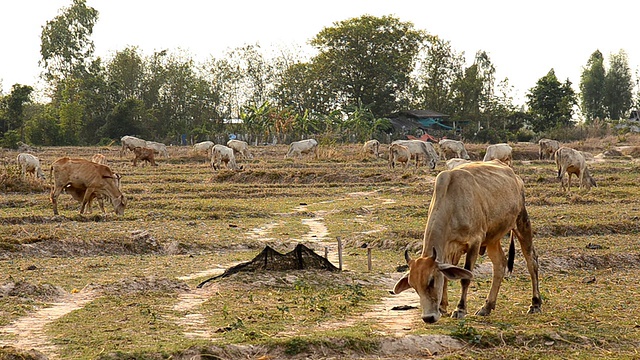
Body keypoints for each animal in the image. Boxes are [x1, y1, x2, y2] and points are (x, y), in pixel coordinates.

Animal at [396, 160, 540, 324]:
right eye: (413, 286)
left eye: (431, 280)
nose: (428, 317)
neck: (451, 203)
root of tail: (515, 176)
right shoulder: (449, 249)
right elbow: (447, 276)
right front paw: (442, 307)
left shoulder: (474, 242)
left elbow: (465, 277)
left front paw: (460, 309)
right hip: (492, 238)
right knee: (500, 264)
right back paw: (487, 306)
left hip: (522, 222)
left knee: (531, 261)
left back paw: (535, 303)